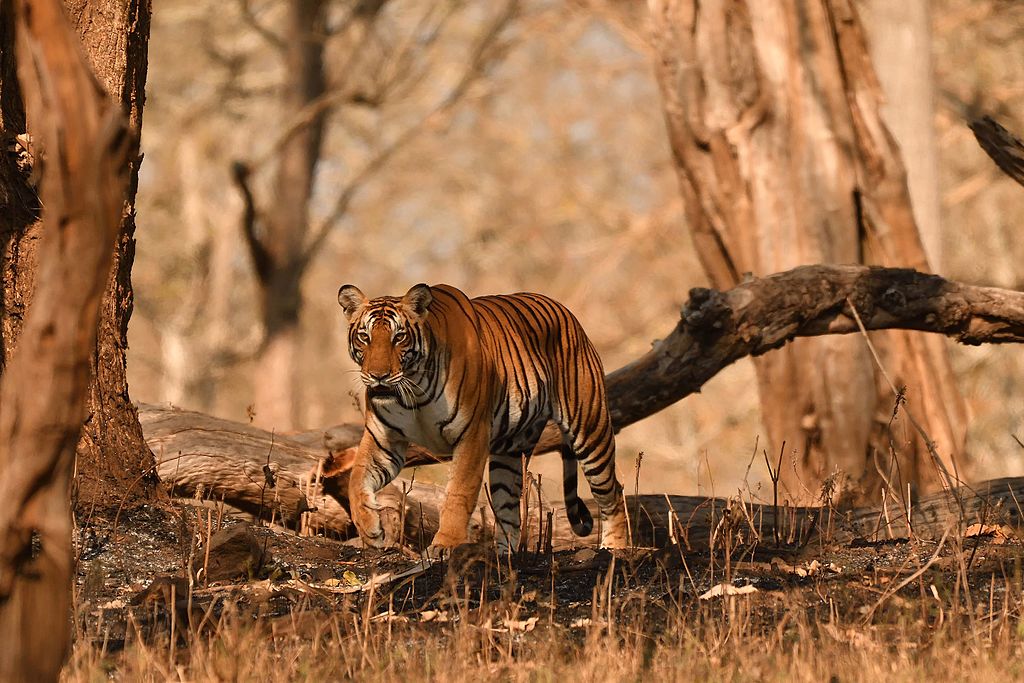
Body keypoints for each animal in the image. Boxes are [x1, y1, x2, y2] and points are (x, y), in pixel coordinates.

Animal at [337, 282, 622, 557]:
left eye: (399, 337)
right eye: (365, 337)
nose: (379, 376)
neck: (414, 390)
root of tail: (567, 312)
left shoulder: (472, 435)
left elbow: (458, 494)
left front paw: (444, 545)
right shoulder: (383, 440)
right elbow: (356, 480)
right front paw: (370, 531)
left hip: (590, 428)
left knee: (613, 492)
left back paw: (614, 548)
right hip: (509, 453)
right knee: (509, 508)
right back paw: (503, 556)